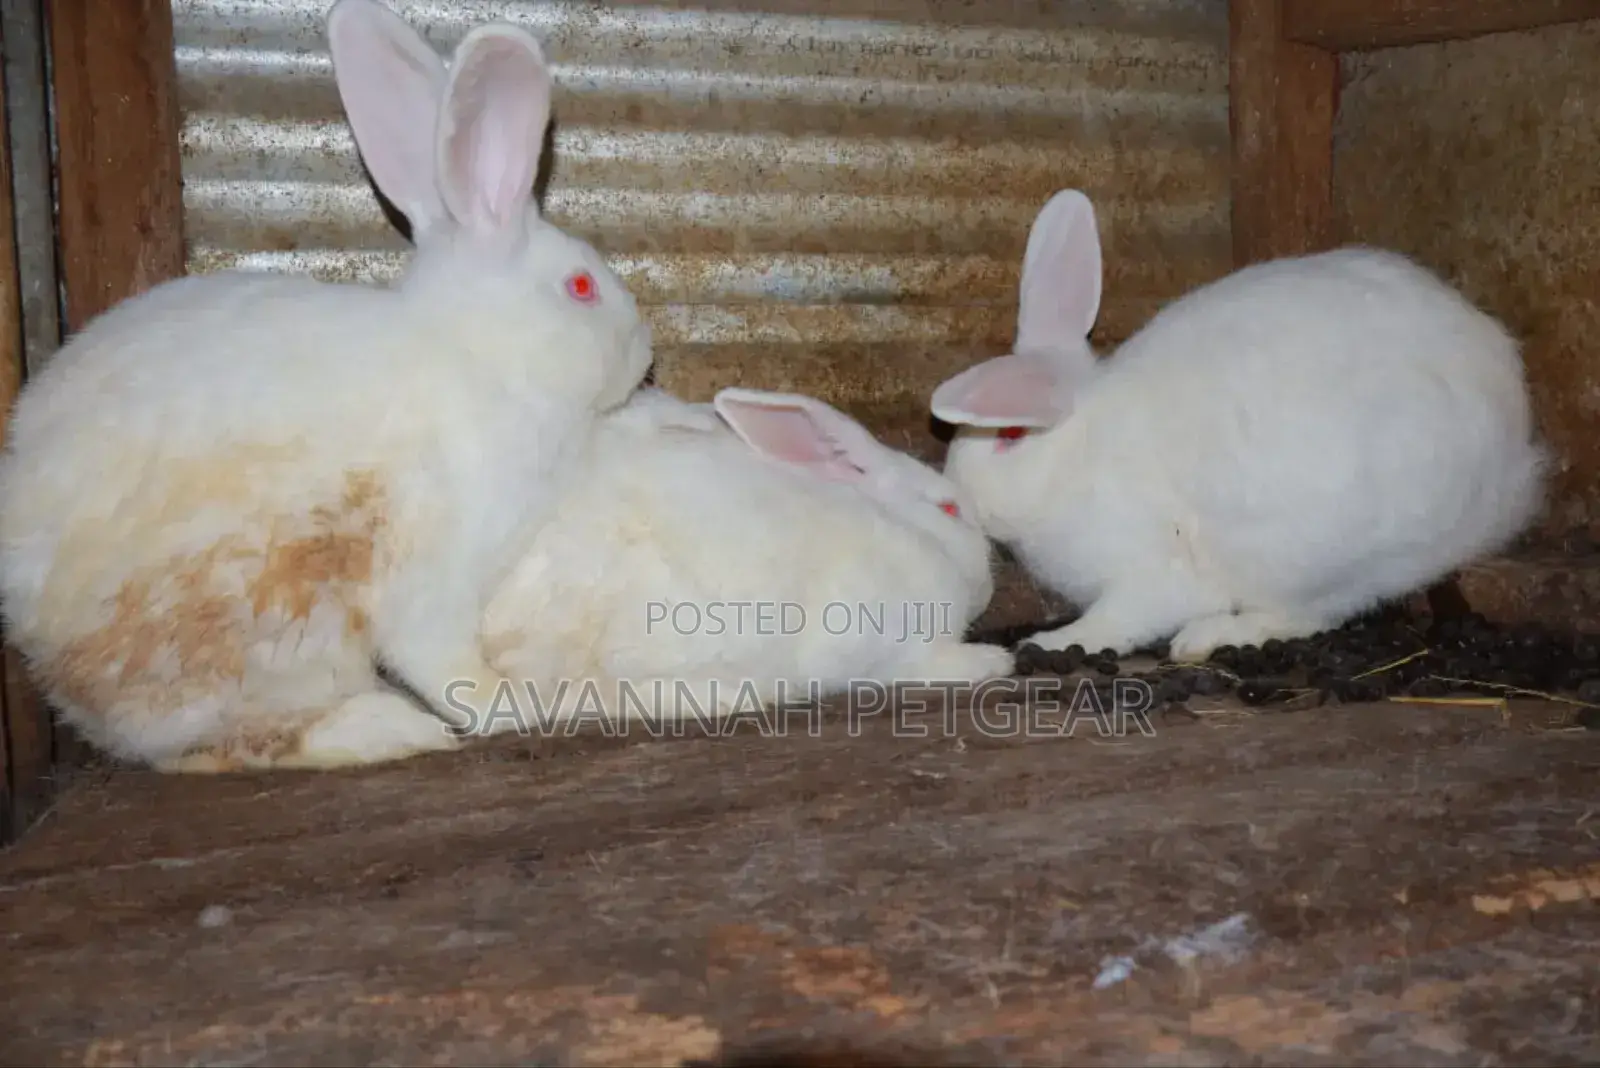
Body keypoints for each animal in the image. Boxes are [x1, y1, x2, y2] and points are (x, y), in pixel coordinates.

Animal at [0, 0, 653, 773]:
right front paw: (516, 704)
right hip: (263, 631)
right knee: (233, 742)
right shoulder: (433, 577)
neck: (482, 355)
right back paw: (386, 729)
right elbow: (447, 663)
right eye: (582, 288)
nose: (645, 353)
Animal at [927, 188, 1548, 664]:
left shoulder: (1149, 570)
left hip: (1321, 554)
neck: (1078, 455)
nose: (961, 496)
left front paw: (1054, 643)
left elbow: (1119, 618)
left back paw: (1210, 636)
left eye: (1009, 436)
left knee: (1312, 614)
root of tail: (1513, 453)